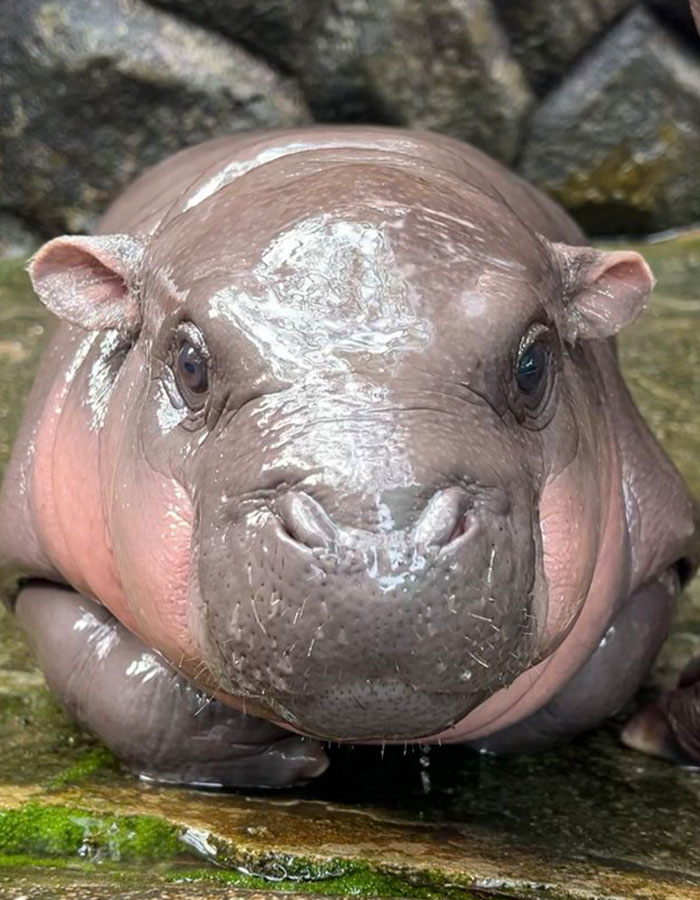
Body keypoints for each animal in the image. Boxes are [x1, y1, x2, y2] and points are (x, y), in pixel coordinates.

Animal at [0, 128, 696, 788]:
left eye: (534, 364)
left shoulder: (658, 561)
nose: (378, 553)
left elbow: (590, 684)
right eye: (190, 363)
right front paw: (272, 750)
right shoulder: (34, 564)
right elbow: (119, 687)